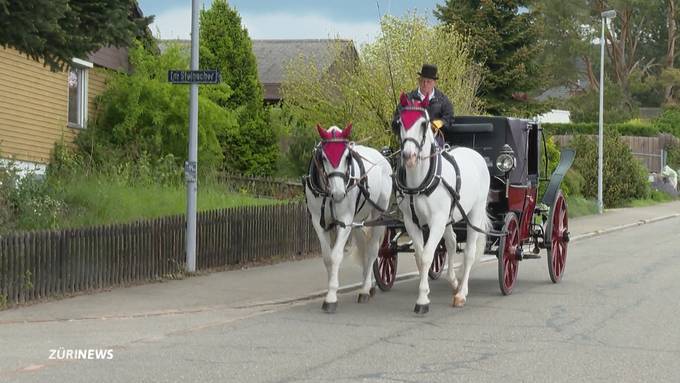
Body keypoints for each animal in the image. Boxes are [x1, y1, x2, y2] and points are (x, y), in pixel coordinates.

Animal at [304, 124, 394, 314]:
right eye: (324, 157)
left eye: (347, 156)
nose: (339, 193)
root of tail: (383, 158)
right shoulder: (319, 222)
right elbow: (327, 257)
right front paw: (331, 289)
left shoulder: (344, 222)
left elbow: (336, 256)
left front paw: (331, 297)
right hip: (358, 219)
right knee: (365, 249)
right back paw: (368, 285)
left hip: (378, 214)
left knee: (373, 250)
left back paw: (365, 289)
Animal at [396, 94, 492, 316]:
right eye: (399, 122)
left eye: (423, 123)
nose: (409, 156)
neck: (421, 180)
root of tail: (476, 155)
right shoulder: (411, 223)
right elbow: (420, 256)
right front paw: (425, 292)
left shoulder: (437, 221)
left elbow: (427, 256)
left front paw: (422, 300)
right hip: (449, 218)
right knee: (452, 242)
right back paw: (454, 282)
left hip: (474, 212)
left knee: (469, 252)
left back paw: (462, 293)